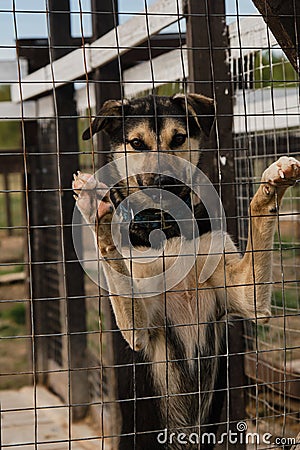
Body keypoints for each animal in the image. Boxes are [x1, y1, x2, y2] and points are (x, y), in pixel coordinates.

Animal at [73, 93, 300, 448]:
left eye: (178, 138)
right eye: (136, 143)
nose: (165, 183)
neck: (168, 227)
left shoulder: (246, 296)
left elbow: (257, 217)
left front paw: (271, 186)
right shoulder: (139, 331)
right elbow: (115, 261)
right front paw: (96, 208)